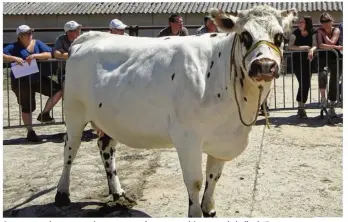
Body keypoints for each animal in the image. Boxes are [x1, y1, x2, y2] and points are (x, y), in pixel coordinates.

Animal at [54, 5, 296, 219]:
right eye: (245, 35)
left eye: (280, 37)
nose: (265, 65)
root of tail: (89, 36)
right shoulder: (187, 137)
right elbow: (195, 181)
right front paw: (195, 213)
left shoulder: (222, 140)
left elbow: (214, 177)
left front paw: (209, 209)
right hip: (74, 113)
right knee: (70, 149)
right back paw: (62, 194)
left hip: (108, 119)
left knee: (105, 148)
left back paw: (118, 193)